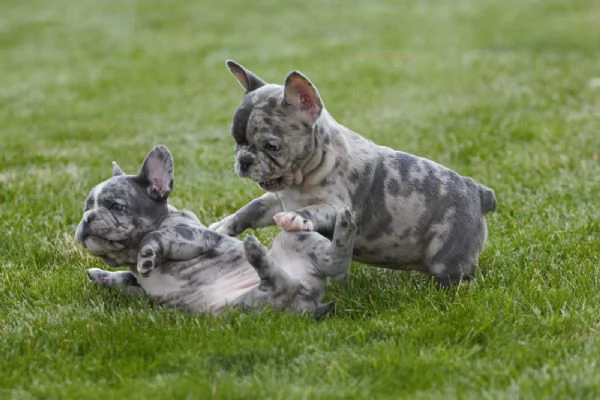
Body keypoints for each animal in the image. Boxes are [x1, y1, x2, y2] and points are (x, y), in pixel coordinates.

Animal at [75, 145, 356, 318]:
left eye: (117, 206)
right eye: (86, 207)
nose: (87, 218)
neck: (130, 257)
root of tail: (310, 301)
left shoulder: (196, 236)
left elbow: (155, 237)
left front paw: (148, 252)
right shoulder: (139, 288)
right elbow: (124, 278)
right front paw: (100, 274)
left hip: (295, 236)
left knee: (336, 267)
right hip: (245, 305)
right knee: (278, 282)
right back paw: (257, 253)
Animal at [211, 59, 496, 286]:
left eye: (271, 146)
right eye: (236, 141)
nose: (243, 160)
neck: (309, 171)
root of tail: (480, 193)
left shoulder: (337, 206)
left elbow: (312, 210)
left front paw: (296, 217)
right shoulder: (275, 200)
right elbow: (251, 209)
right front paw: (223, 225)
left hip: (448, 258)